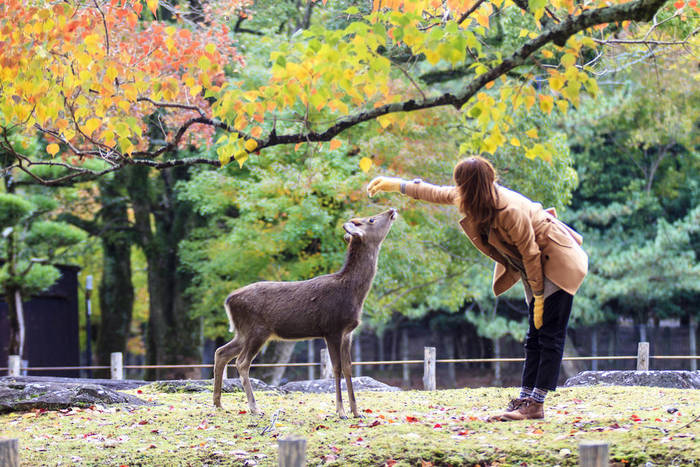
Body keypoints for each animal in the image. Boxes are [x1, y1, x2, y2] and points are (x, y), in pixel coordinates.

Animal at [213, 209, 396, 420]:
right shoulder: (332, 328)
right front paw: (341, 411)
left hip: (243, 332)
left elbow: (349, 368)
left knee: (221, 352)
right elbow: (336, 368)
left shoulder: (348, 332)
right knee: (242, 362)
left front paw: (357, 412)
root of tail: (228, 300)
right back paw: (254, 407)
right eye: (371, 219)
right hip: (256, 330)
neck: (353, 293)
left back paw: (218, 403)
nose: (392, 211)